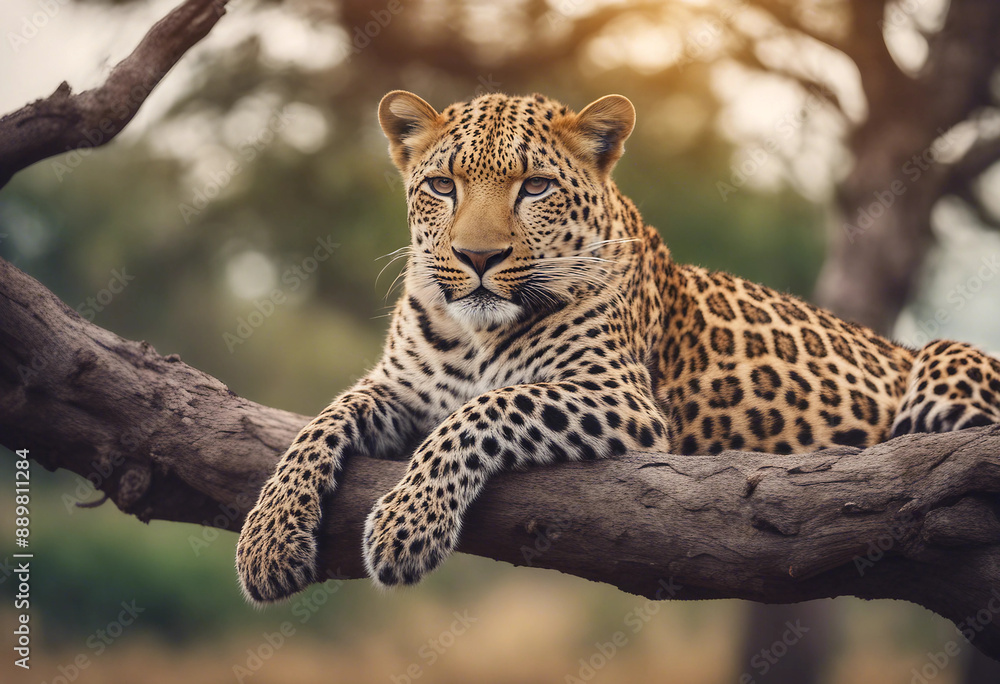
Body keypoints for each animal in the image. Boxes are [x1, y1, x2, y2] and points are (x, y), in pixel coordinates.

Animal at [236, 89, 1000, 603]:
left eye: (536, 186)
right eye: (442, 186)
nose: (477, 257)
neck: (476, 335)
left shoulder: (619, 397)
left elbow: (485, 410)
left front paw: (406, 525)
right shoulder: (398, 388)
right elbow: (319, 423)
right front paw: (267, 539)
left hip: (948, 360)